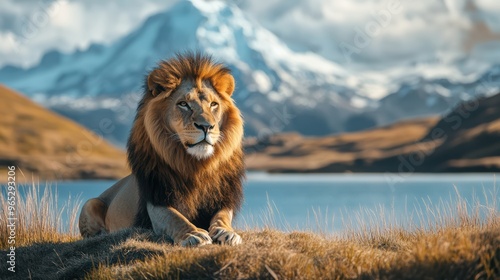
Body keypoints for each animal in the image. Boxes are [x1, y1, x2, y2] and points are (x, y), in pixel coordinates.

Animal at [76, 51, 246, 246]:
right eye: (183, 104)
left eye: (213, 104)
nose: (206, 126)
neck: (196, 166)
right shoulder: (157, 200)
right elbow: (175, 218)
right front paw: (193, 234)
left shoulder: (223, 199)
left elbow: (222, 217)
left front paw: (227, 232)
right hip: (89, 204)